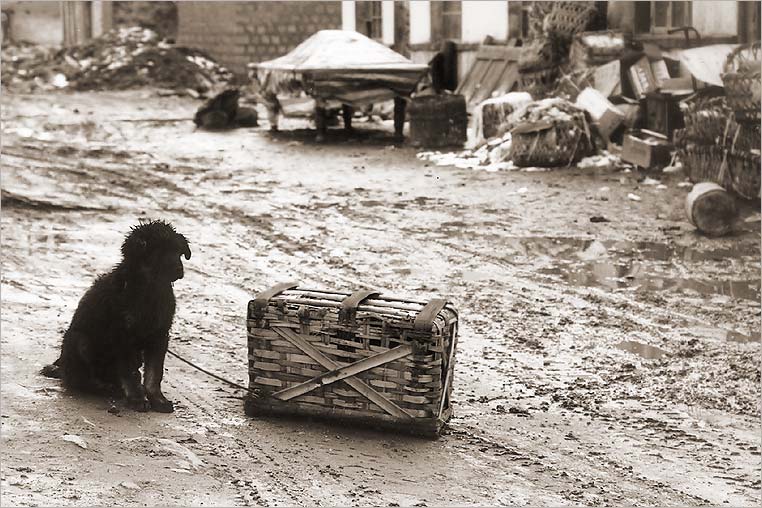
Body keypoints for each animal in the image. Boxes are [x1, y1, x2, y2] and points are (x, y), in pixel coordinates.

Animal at [41, 219, 191, 412]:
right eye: (159, 251)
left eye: (178, 252)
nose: (179, 269)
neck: (150, 289)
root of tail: (63, 368)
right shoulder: (122, 335)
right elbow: (130, 372)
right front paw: (137, 399)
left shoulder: (159, 335)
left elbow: (154, 372)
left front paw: (158, 399)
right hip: (80, 341)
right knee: (79, 379)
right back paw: (105, 388)